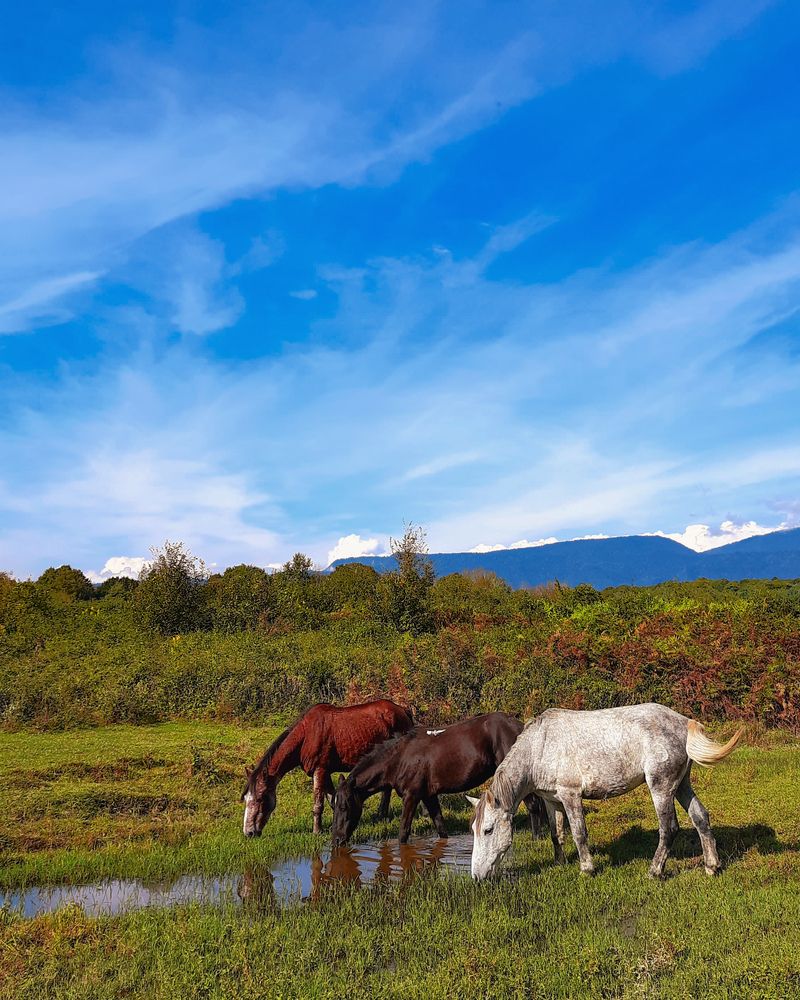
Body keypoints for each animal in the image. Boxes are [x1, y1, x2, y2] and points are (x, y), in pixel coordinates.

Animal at [242, 699, 414, 836]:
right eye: (245, 798)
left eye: (260, 798)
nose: (249, 833)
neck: (306, 735)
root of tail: (403, 711)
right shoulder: (325, 772)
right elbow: (333, 800)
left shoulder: (320, 770)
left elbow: (318, 805)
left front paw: (317, 831)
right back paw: (381, 814)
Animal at [331, 712, 546, 846]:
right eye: (333, 807)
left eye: (344, 806)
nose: (336, 840)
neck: (400, 758)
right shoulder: (429, 796)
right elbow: (441, 828)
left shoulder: (412, 796)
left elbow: (403, 833)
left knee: (533, 805)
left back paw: (536, 838)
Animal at [469, 703, 743, 881]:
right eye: (474, 830)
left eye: (488, 830)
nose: (477, 876)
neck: (541, 746)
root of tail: (684, 723)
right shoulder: (552, 800)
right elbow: (556, 834)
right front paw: (559, 863)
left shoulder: (570, 796)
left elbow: (579, 834)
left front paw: (587, 869)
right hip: (681, 784)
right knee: (700, 817)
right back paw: (712, 867)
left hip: (662, 787)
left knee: (669, 828)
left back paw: (654, 871)